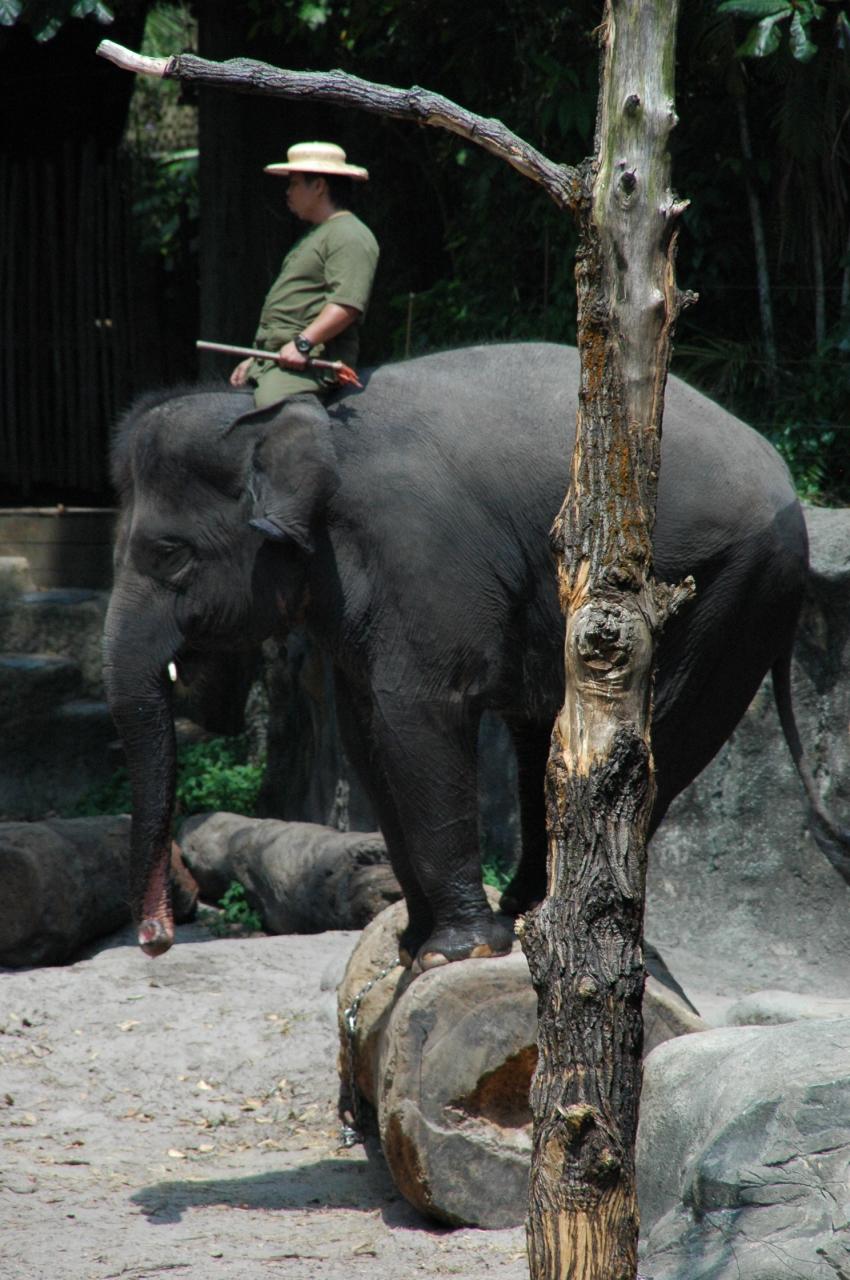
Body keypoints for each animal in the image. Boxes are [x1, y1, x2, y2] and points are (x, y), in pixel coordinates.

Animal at [103, 342, 847, 970]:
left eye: (170, 555)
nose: (155, 938)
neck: (302, 416)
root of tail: (787, 480)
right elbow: (366, 734)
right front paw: (412, 945)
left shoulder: (419, 553)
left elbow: (419, 718)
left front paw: (457, 953)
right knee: (548, 734)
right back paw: (529, 907)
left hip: (736, 592)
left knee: (658, 736)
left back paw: (566, 914)